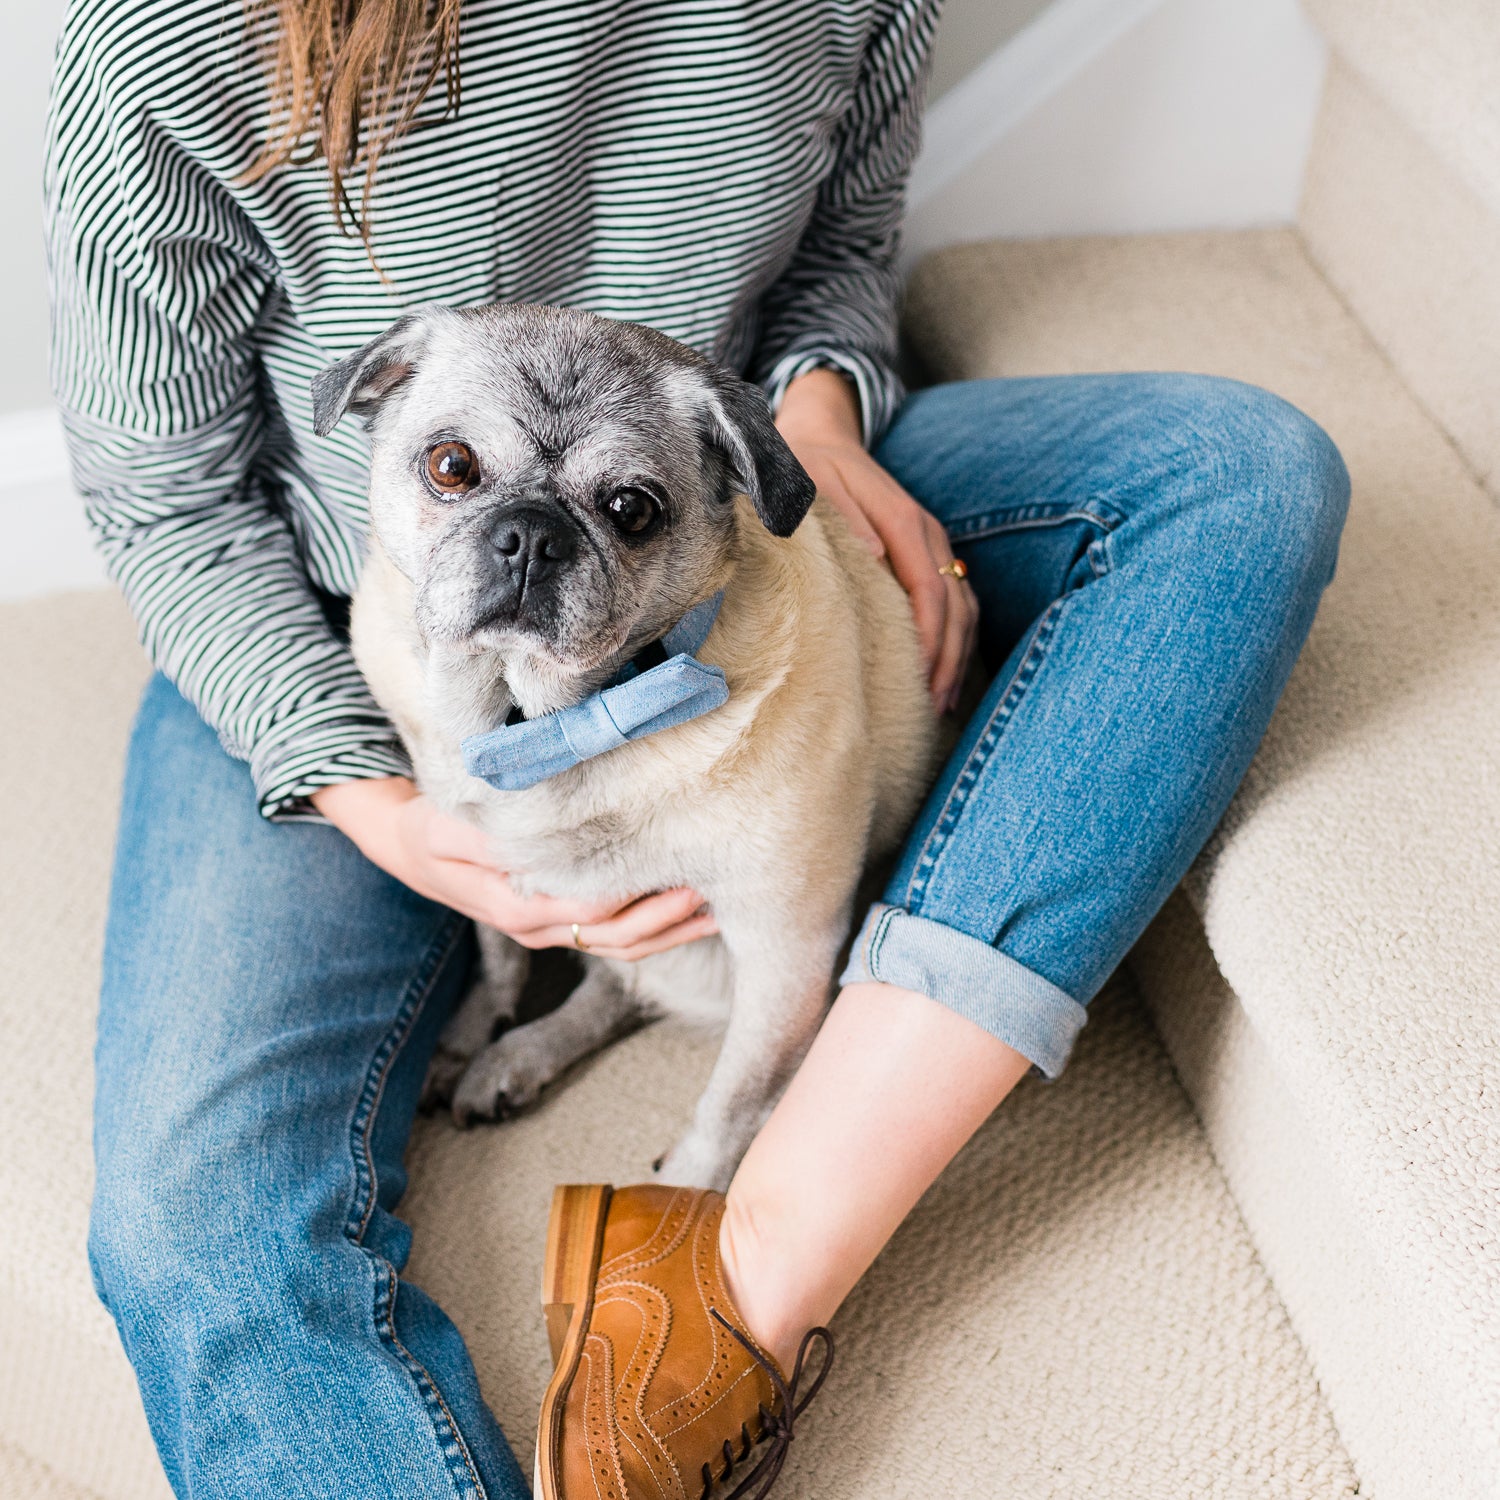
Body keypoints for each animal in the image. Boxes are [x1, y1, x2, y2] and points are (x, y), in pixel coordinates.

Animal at [310, 304, 930, 1188]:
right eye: (451, 465)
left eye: (632, 509)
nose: (531, 534)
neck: (540, 722)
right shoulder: (485, 861)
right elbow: (501, 952)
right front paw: (469, 1031)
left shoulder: (787, 947)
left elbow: (731, 1105)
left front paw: (685, 1192)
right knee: (609, 991)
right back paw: (513, 1055)